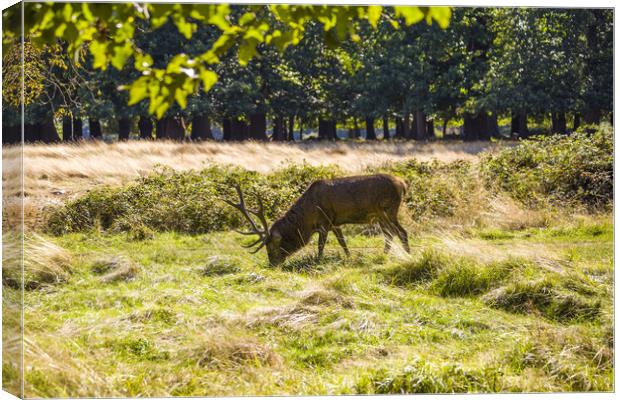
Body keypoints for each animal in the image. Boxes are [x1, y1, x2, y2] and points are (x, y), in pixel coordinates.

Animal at [224, 173, 412, 264]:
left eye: (271, 247)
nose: (272, 265)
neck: (307, 217)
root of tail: (403, 184)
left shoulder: (324, 220)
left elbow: (321, 245)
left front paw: (318, 261)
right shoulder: (334, 222)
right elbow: (342, 242)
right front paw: (349, 257)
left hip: (389, 209)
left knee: (401, 232)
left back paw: (408, 255)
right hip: (379, 215)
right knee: (389, 234)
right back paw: (384, 255)